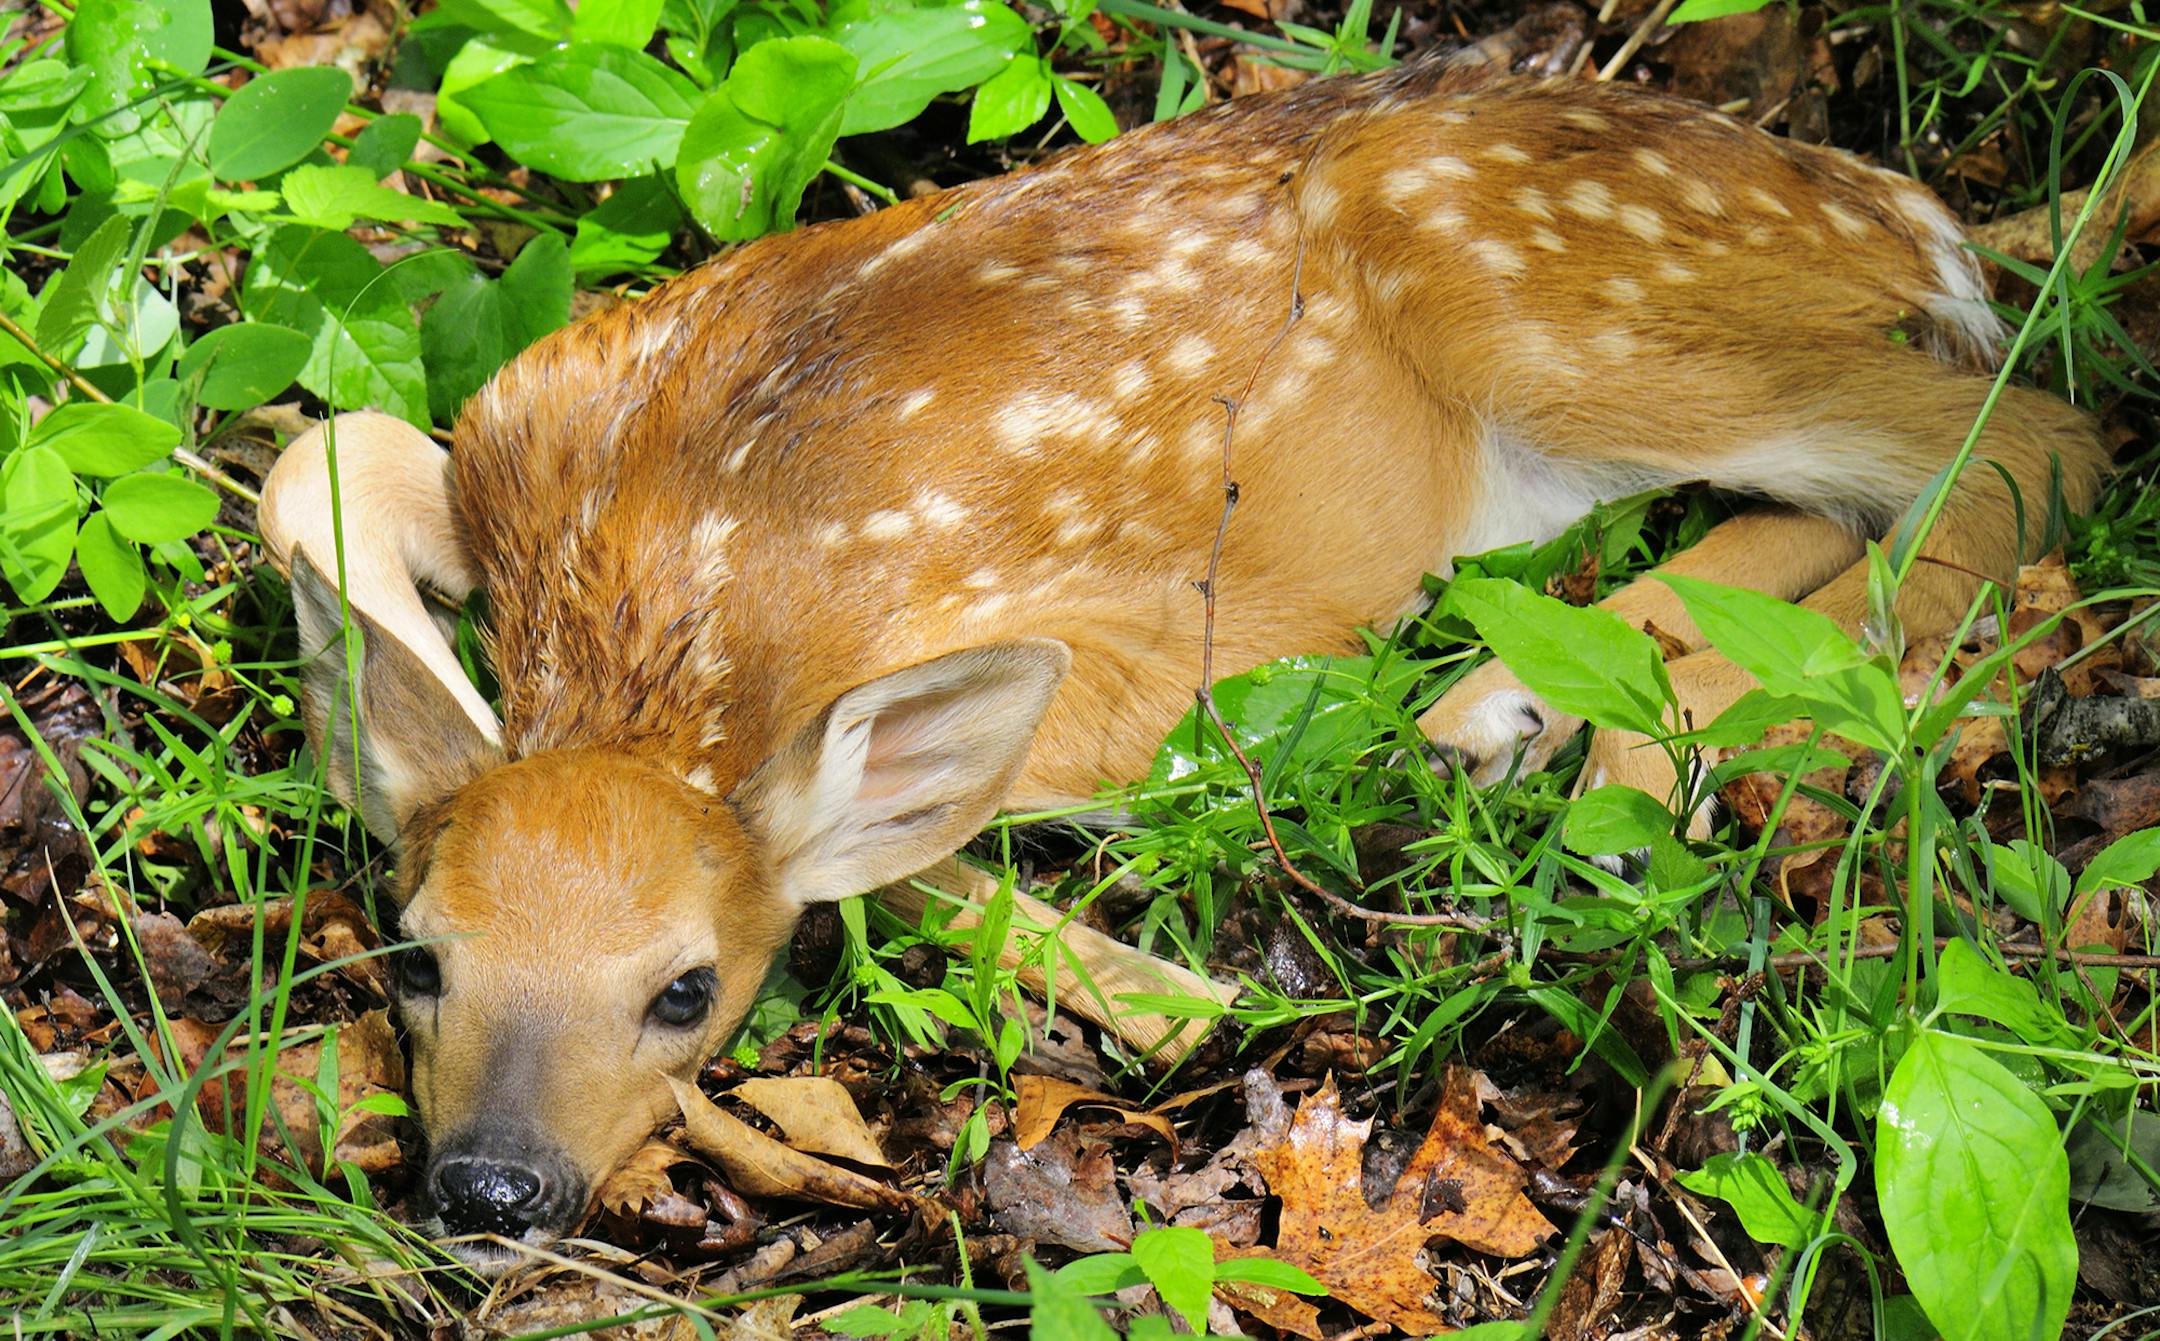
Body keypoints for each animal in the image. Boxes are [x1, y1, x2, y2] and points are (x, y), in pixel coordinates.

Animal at [257, 54, 2107, 1269]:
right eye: (417, 952)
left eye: (685, 989)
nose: (492, 1187)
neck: (675, 605)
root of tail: (1898, 200)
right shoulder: (510, 424)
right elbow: (317, 457)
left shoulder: (1149, 647)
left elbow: (924, 842)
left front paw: (1179, 997)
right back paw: (1511, 710)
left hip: (1558, 311)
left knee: (2039, 435)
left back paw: (1657, 760)